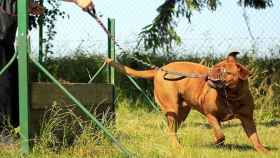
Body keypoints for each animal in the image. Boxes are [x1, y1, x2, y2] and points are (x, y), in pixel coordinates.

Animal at [105, 52, 270, 153]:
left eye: (224, 71)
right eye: (216, 67)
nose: (210, 72)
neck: (230, 96)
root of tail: (160, 70)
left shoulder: (248, 119)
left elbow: (255, 137)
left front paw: (263, 150)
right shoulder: (211, 115)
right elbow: (220, 134)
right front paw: (216, 143)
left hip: (182, 113)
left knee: (173, 129)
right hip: (171, 108)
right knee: (171, 130)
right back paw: (177, 146)